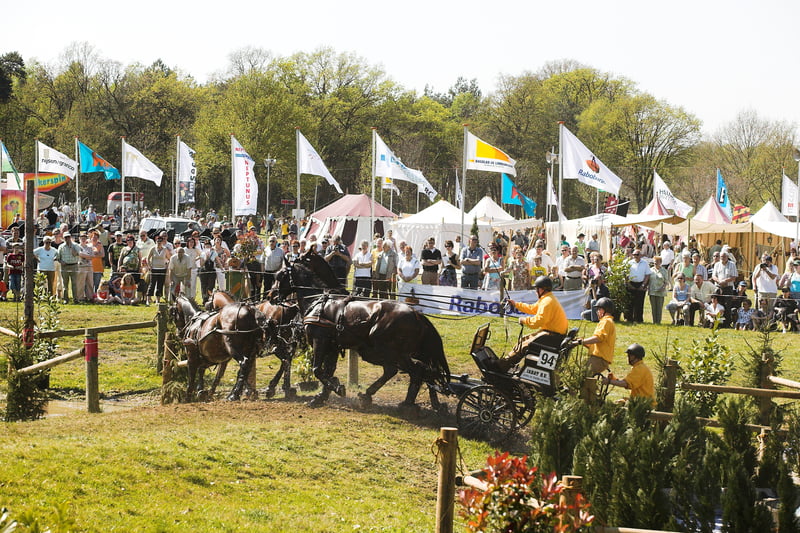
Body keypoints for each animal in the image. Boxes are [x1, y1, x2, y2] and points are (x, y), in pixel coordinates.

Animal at [272, 251, 450, 410]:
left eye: (280, 276)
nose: (271, 295)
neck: (317, 300)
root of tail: (416, 314)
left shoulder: (320, 341)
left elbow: (317, 370)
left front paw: (337, 389)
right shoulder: (333, 346)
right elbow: (328, 371)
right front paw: (322, 396)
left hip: (388, 352)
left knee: (415, 371)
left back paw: (406, 403)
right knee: (419, 370)